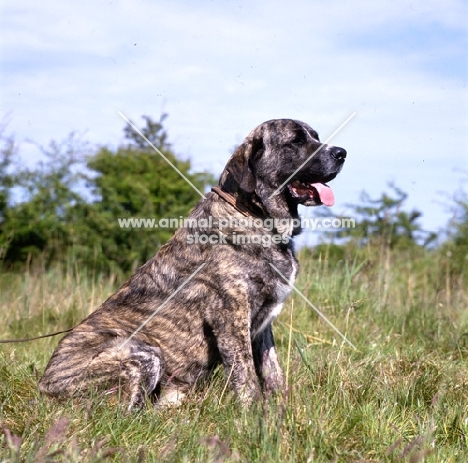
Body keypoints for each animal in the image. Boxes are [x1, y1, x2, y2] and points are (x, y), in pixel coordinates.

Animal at [40, 118, 346, 410]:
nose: (341, 153)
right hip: (143, 354)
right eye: (295, 141)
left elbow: (273, 374)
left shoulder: (262, 327)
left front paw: (281, 412)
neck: (254, 216)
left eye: (315, 137)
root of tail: (42, 389)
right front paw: (253, 418)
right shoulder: (230, 317)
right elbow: (246, 378)